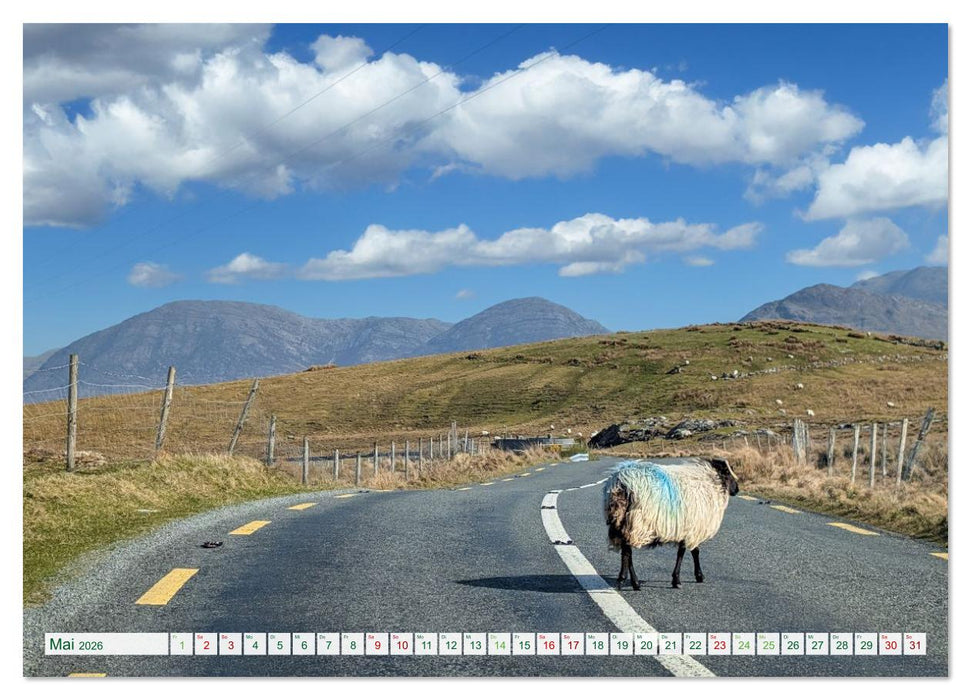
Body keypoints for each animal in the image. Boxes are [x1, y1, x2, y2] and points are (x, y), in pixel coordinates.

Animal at [604, 457, 739, 590]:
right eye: (728, 473)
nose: (737, 490)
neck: (712, 482)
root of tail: (621, 483)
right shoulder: (691, 527)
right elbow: (687, 552)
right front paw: (681, 579)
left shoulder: (688, 528)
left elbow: (690, 551)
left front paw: (692, 576)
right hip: (636, 522)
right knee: (627, 552)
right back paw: (630, 581)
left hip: (621, 522)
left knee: (626, 551)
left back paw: (628, 581)